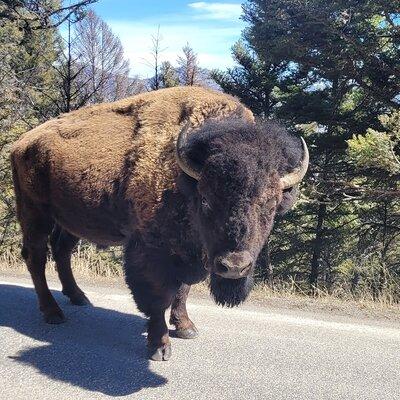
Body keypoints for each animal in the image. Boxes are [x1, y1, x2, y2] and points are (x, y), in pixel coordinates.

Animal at [10, 86, 308, 360]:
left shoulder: (194, 254)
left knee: (62, 251)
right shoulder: (151, 251)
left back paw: (79, 297)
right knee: (36, 257)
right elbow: (158, 296)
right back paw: (53, 312)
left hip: (72, 219)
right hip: (35, 213)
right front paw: (159, 346)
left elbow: (183, 291)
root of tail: (21, 143)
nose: (234, 266)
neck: (183, 180)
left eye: (270, 204)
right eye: (206, 199)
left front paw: (186, 327)